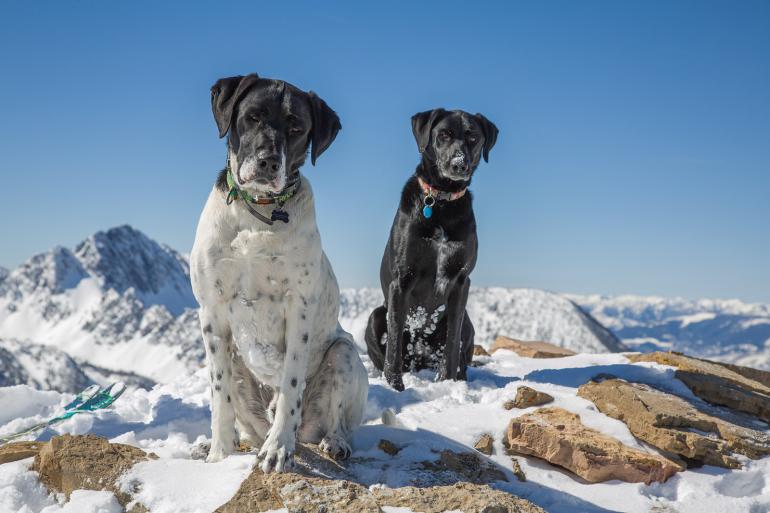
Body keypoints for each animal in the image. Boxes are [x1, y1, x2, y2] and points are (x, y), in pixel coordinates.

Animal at [188, 73, 364, 472]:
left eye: (296, 128)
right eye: (252, 116)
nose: (268, 161)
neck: (258, 215)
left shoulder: (298, 308)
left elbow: (291, 385)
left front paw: (278, 449)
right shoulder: (211, 312)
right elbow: (219, 398)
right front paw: (219, 454)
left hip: (345, 354)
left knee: (338, 421)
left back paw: (334, 442)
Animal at [366, 107, 498, 388]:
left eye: (473, 138)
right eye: (444, 135)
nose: (459, 165)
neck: (441, 202)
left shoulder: (461, 281)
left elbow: (452, 343)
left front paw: (447, 382)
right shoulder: (401, 280)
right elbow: (394, 342)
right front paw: (395, 387)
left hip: (468, 322)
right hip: (375, 317)